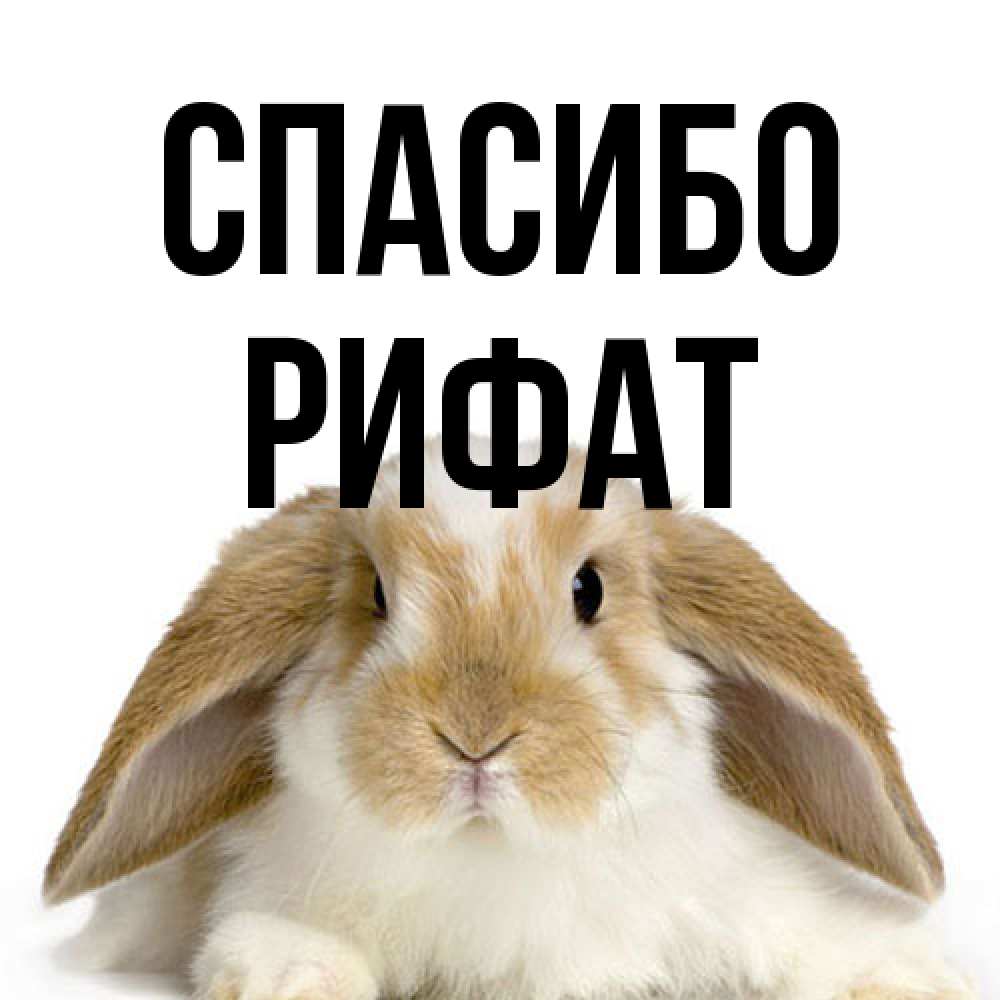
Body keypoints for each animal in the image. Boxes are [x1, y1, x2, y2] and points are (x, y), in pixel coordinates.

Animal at [45, 438, 975, 1000]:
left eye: (589, 589)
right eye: (376, 595)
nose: (475, 737)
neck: (495, 857)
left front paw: (909, 978)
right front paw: (290, 977)